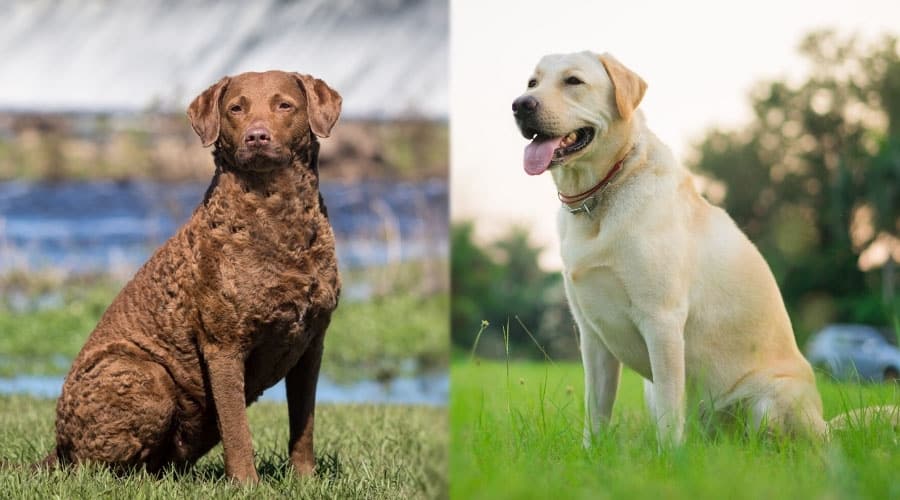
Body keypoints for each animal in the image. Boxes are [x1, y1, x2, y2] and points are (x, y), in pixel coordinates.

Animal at [51, 70, 342, 480]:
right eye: (236, 108)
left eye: (284, 105)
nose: (257, 136)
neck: (277, 218)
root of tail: (57, 448)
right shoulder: (223, 345)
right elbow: (237, 430)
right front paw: (246, 484)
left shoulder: (312, 342)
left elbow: (304, 424)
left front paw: (305, 480)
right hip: (145, 374)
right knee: (96, 468)